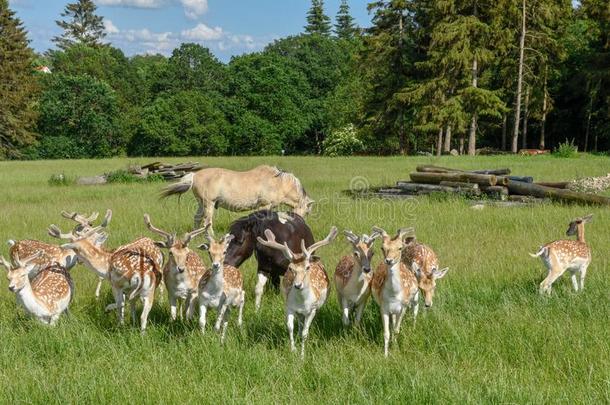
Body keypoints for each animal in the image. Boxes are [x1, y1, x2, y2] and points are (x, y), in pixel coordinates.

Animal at [160, 165, 314, 234]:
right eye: (307, 211)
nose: (301, 224)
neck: (278, 182)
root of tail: (194, 175)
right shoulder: (264, 206)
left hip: (201, 204)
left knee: (197, 218)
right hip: (209, 204)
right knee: (207, 222)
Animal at [254, 226, 334, 358]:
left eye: (307, 267)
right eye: (291, 268)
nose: (297, 285)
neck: (302, 302)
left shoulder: (312, 309)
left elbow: (305, 332)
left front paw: (302, 355)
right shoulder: (289, 307)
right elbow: (290, 327)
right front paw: (293, 350)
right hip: (298, 312)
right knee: (300, 324)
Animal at [368, 226, 420, 356]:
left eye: (400, 247)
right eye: (382, 247)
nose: (389, 260)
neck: (394, 295)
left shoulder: (403, 307)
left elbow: (396, 330)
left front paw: (395, 350)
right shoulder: (384, 308)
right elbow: (386, 332)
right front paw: (385, 354)